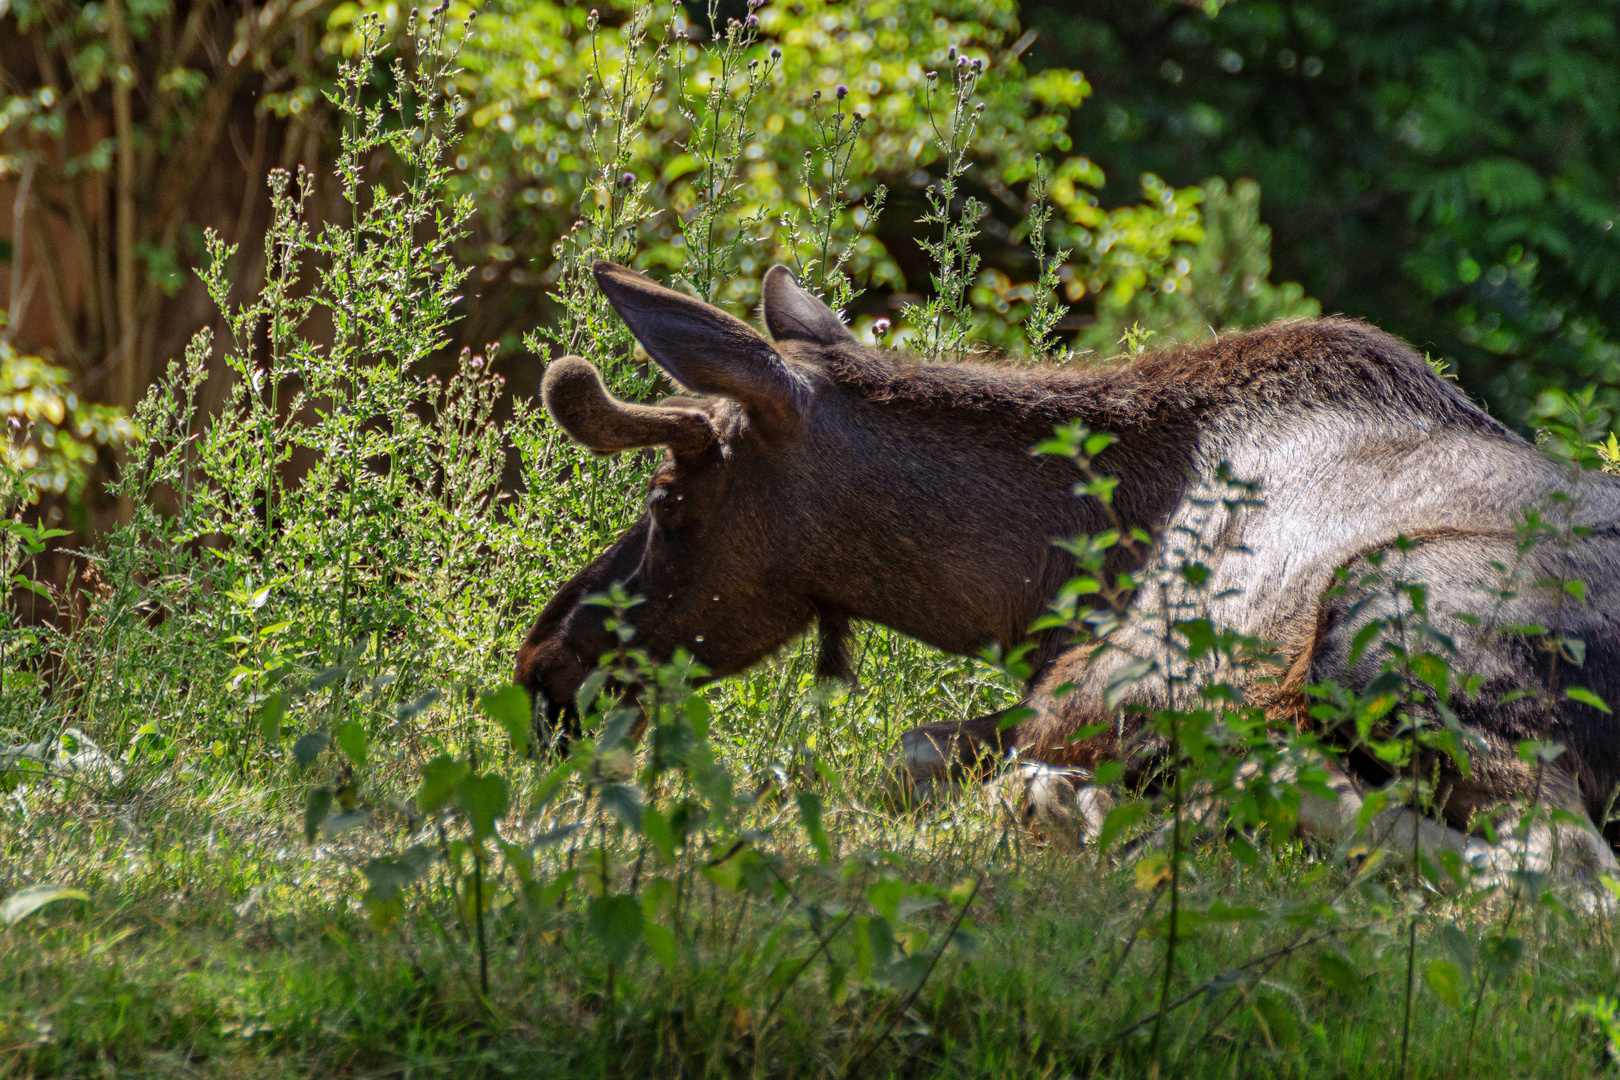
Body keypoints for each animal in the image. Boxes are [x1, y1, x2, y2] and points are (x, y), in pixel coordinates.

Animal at [515, 263, 1620, 887]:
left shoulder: (1106, 682)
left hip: (1388, 624)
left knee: (1563, 871)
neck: (1037, 584)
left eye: (666, 496)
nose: (542, 662)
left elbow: (916, 753)